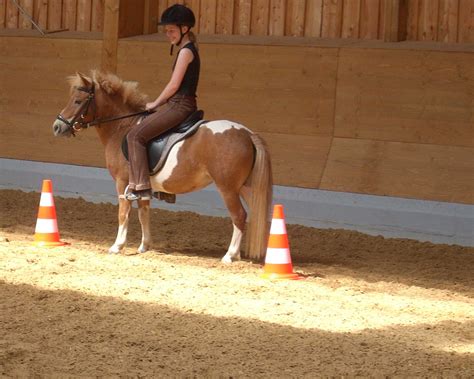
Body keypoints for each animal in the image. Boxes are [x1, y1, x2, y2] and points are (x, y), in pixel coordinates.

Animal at [51, 70, 274, 262]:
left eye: (78, 101)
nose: (57, 127)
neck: (122, 127)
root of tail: (246, 133)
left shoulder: (123, 182)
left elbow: (123, 212)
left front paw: (117, 246)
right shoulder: (140, 185)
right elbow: (143, 212)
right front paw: (144, 246)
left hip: (227, 188)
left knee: (239, 216)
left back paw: (230, 255)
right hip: (246, 187)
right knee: (257, 215)